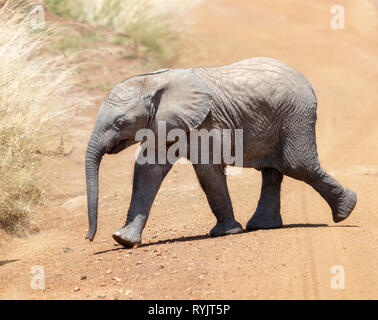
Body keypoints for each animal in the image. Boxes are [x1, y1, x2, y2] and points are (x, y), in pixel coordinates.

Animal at [85, 57, 358, 248]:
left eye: (120, 123)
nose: (89, 237)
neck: (155, 82)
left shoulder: (206, 121)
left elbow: (207, 171)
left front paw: (226, 233)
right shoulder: (164, 123)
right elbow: (147, 170)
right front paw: (123, 240)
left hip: (295, 116)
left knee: (298, 165)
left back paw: (346, 210)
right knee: (272, 172)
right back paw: (263, 226)